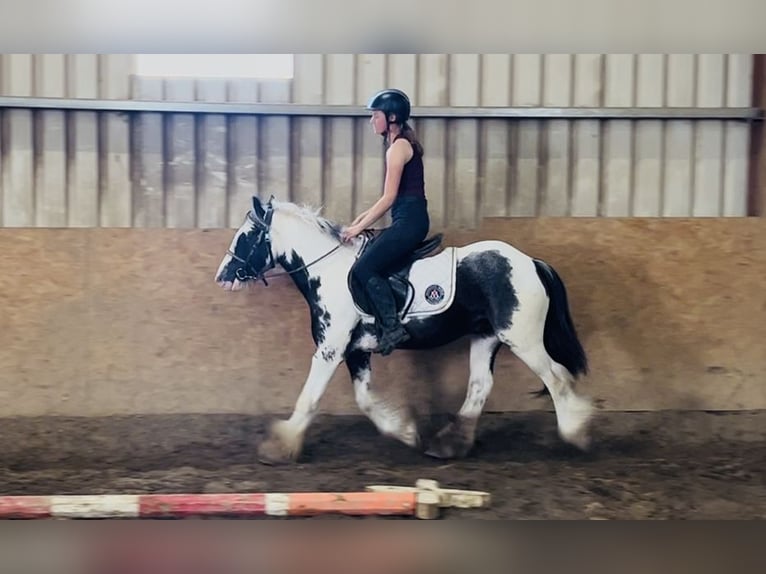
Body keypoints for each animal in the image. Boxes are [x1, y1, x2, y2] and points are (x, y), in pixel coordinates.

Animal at [215, 194, 595, 465]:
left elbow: (309, 398)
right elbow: (364, 400)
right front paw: (406, 432)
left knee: (557, 378)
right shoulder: (356, 352)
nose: (223, 276)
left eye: (248, 235)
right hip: (486, 336)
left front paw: (280, 446)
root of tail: (531, 262)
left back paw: (575, 433)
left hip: (522, 338)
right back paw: (448, 444)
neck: (329, 271)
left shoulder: (330, 349)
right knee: (480, 385)